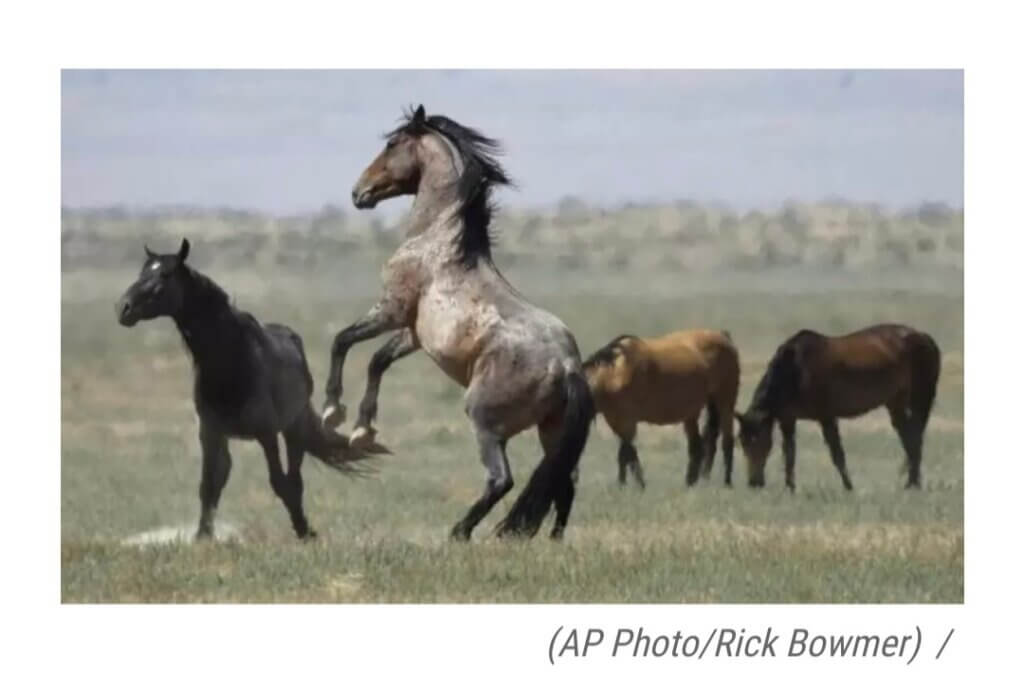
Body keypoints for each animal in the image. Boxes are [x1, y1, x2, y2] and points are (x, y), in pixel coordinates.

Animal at [112, 239, 385, 540]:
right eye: (142, 272)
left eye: (165, 275)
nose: (123, 308)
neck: (233, 360)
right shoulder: (210, 432)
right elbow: (208, 485)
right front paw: (202, 536)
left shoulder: (266, 433)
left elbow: (280, 483)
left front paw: (304, 530)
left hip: (293, 429)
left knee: (294, 479)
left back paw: (303, 528)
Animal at [317, 104, 593, 540]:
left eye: (393, 144)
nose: (358, 192)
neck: (438, 239)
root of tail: (568, 368)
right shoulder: (413, 334)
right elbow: (378, 361)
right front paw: (363, 429)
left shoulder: (390, 311)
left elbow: (342, 341)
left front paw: (333, 412)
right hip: (552, 433)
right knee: (562, 481)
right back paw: (550, 540)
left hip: (484, 420)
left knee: (502, 480)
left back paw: (460, 532)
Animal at [581, 329, 741, 487]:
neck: (612, 375)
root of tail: (723, 337)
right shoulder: (615, 421)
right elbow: (625, 454)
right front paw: (623, 485)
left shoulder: (627, 422)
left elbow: (627, 454)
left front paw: (638, 486)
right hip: (693, 413)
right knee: (698, 447)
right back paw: (692, 482)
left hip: (725, 402)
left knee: (726, 441)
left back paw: (726, 483)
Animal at [733, 323, 937, 489]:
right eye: (741, 441)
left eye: (758, 439)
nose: (754, 483)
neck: (796, 370)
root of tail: (923, 336)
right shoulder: (788, 420)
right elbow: (789, 454)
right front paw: (790, 488)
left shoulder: (826, 417)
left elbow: (837, 454)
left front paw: (849, 487)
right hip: (895, 402)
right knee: (909, 438)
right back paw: (911, 483)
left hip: (919, 398)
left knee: (914, 439)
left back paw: (913, 484)